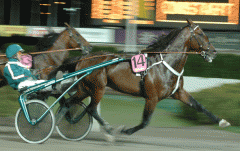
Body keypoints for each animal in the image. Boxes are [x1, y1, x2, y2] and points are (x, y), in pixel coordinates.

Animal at [53, 19, 230, 139]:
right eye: (201, 34)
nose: (214, 52)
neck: (165, 64)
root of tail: (83, 58)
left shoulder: (179, 93)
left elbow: (199, 106)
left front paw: (222, 121)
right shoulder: (152, 97)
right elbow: (145, 121)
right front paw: (125, 130)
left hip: (85, 88)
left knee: (68, 104)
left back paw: (60, 123)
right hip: (98, 88)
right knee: (91, 109)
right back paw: (109, 131)